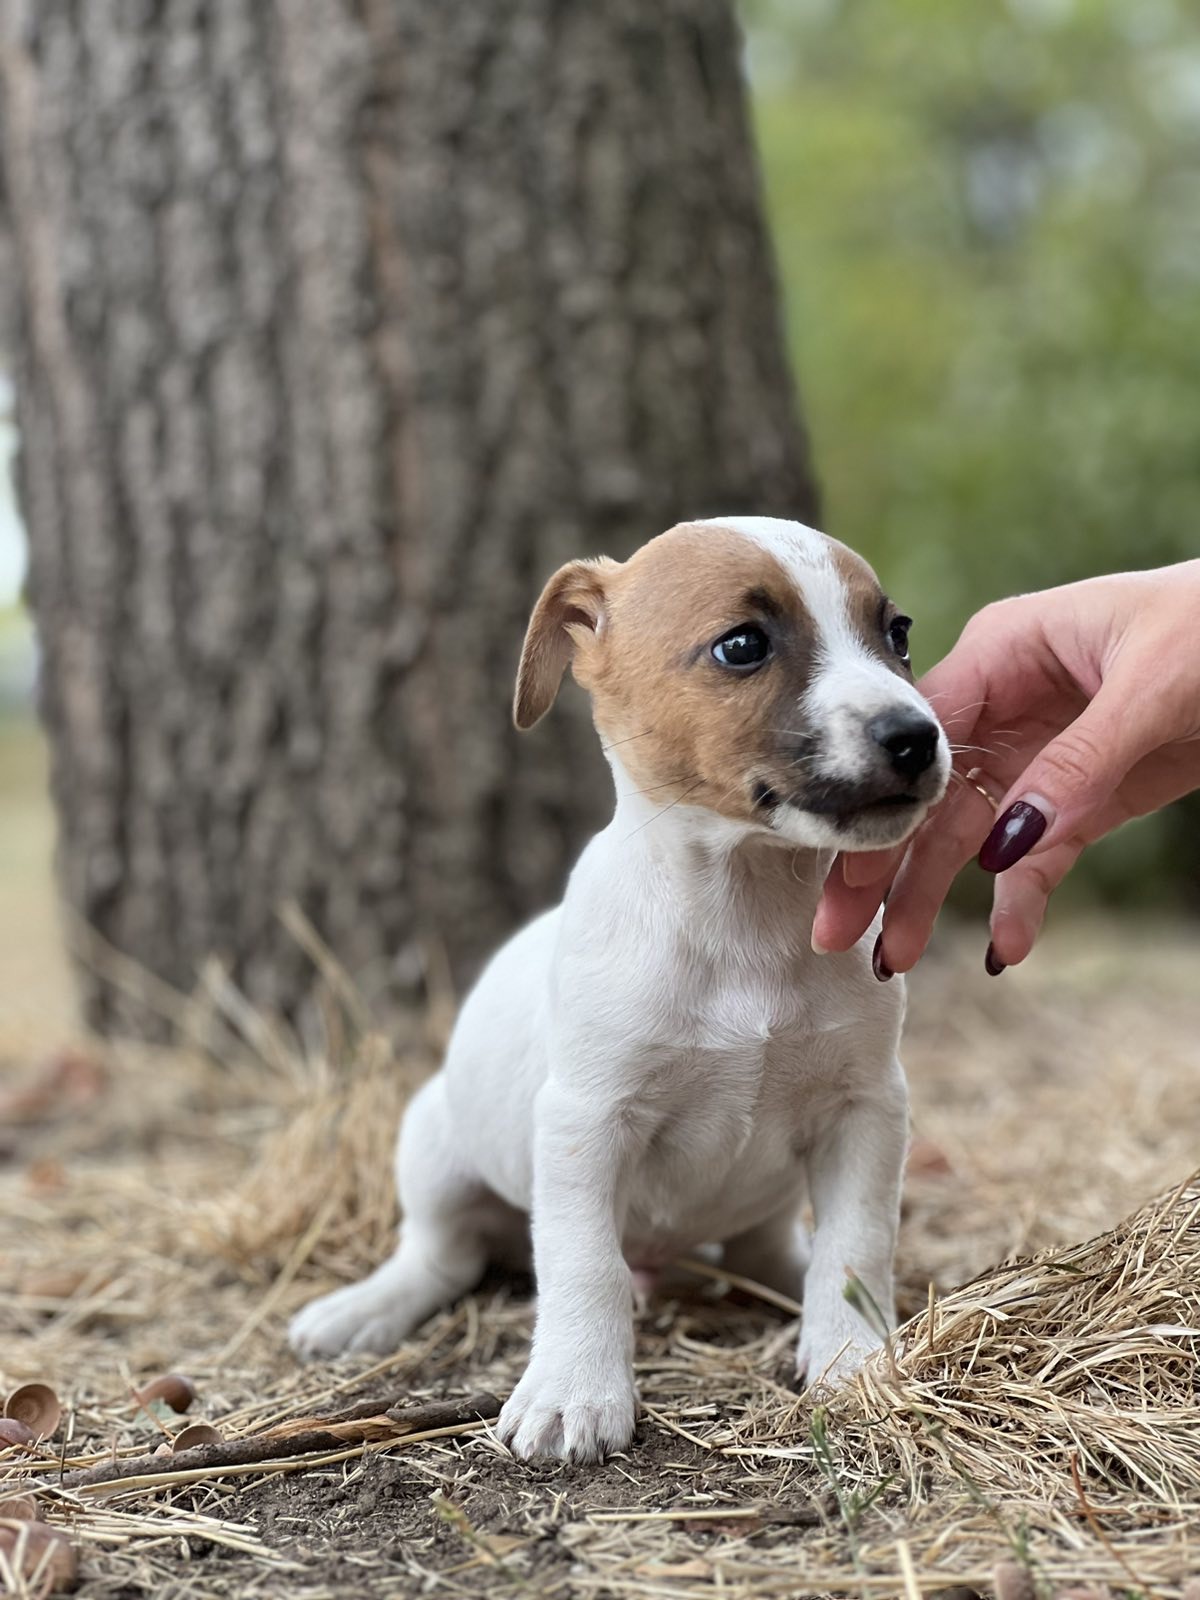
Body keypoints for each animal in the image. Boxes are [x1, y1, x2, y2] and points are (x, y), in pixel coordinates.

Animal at [289, 515, 947, 1465]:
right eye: (743, 645)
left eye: (896, 633)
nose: (917, 736)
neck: (746, 916)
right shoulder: (586, 1123)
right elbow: (582, 1265)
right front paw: (575, 1392)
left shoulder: (867, 1110)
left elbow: (856, 1251)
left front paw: (855, 1358)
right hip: (434, 1146)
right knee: (442, 1256)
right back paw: (363, 1309)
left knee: (773, 1253)